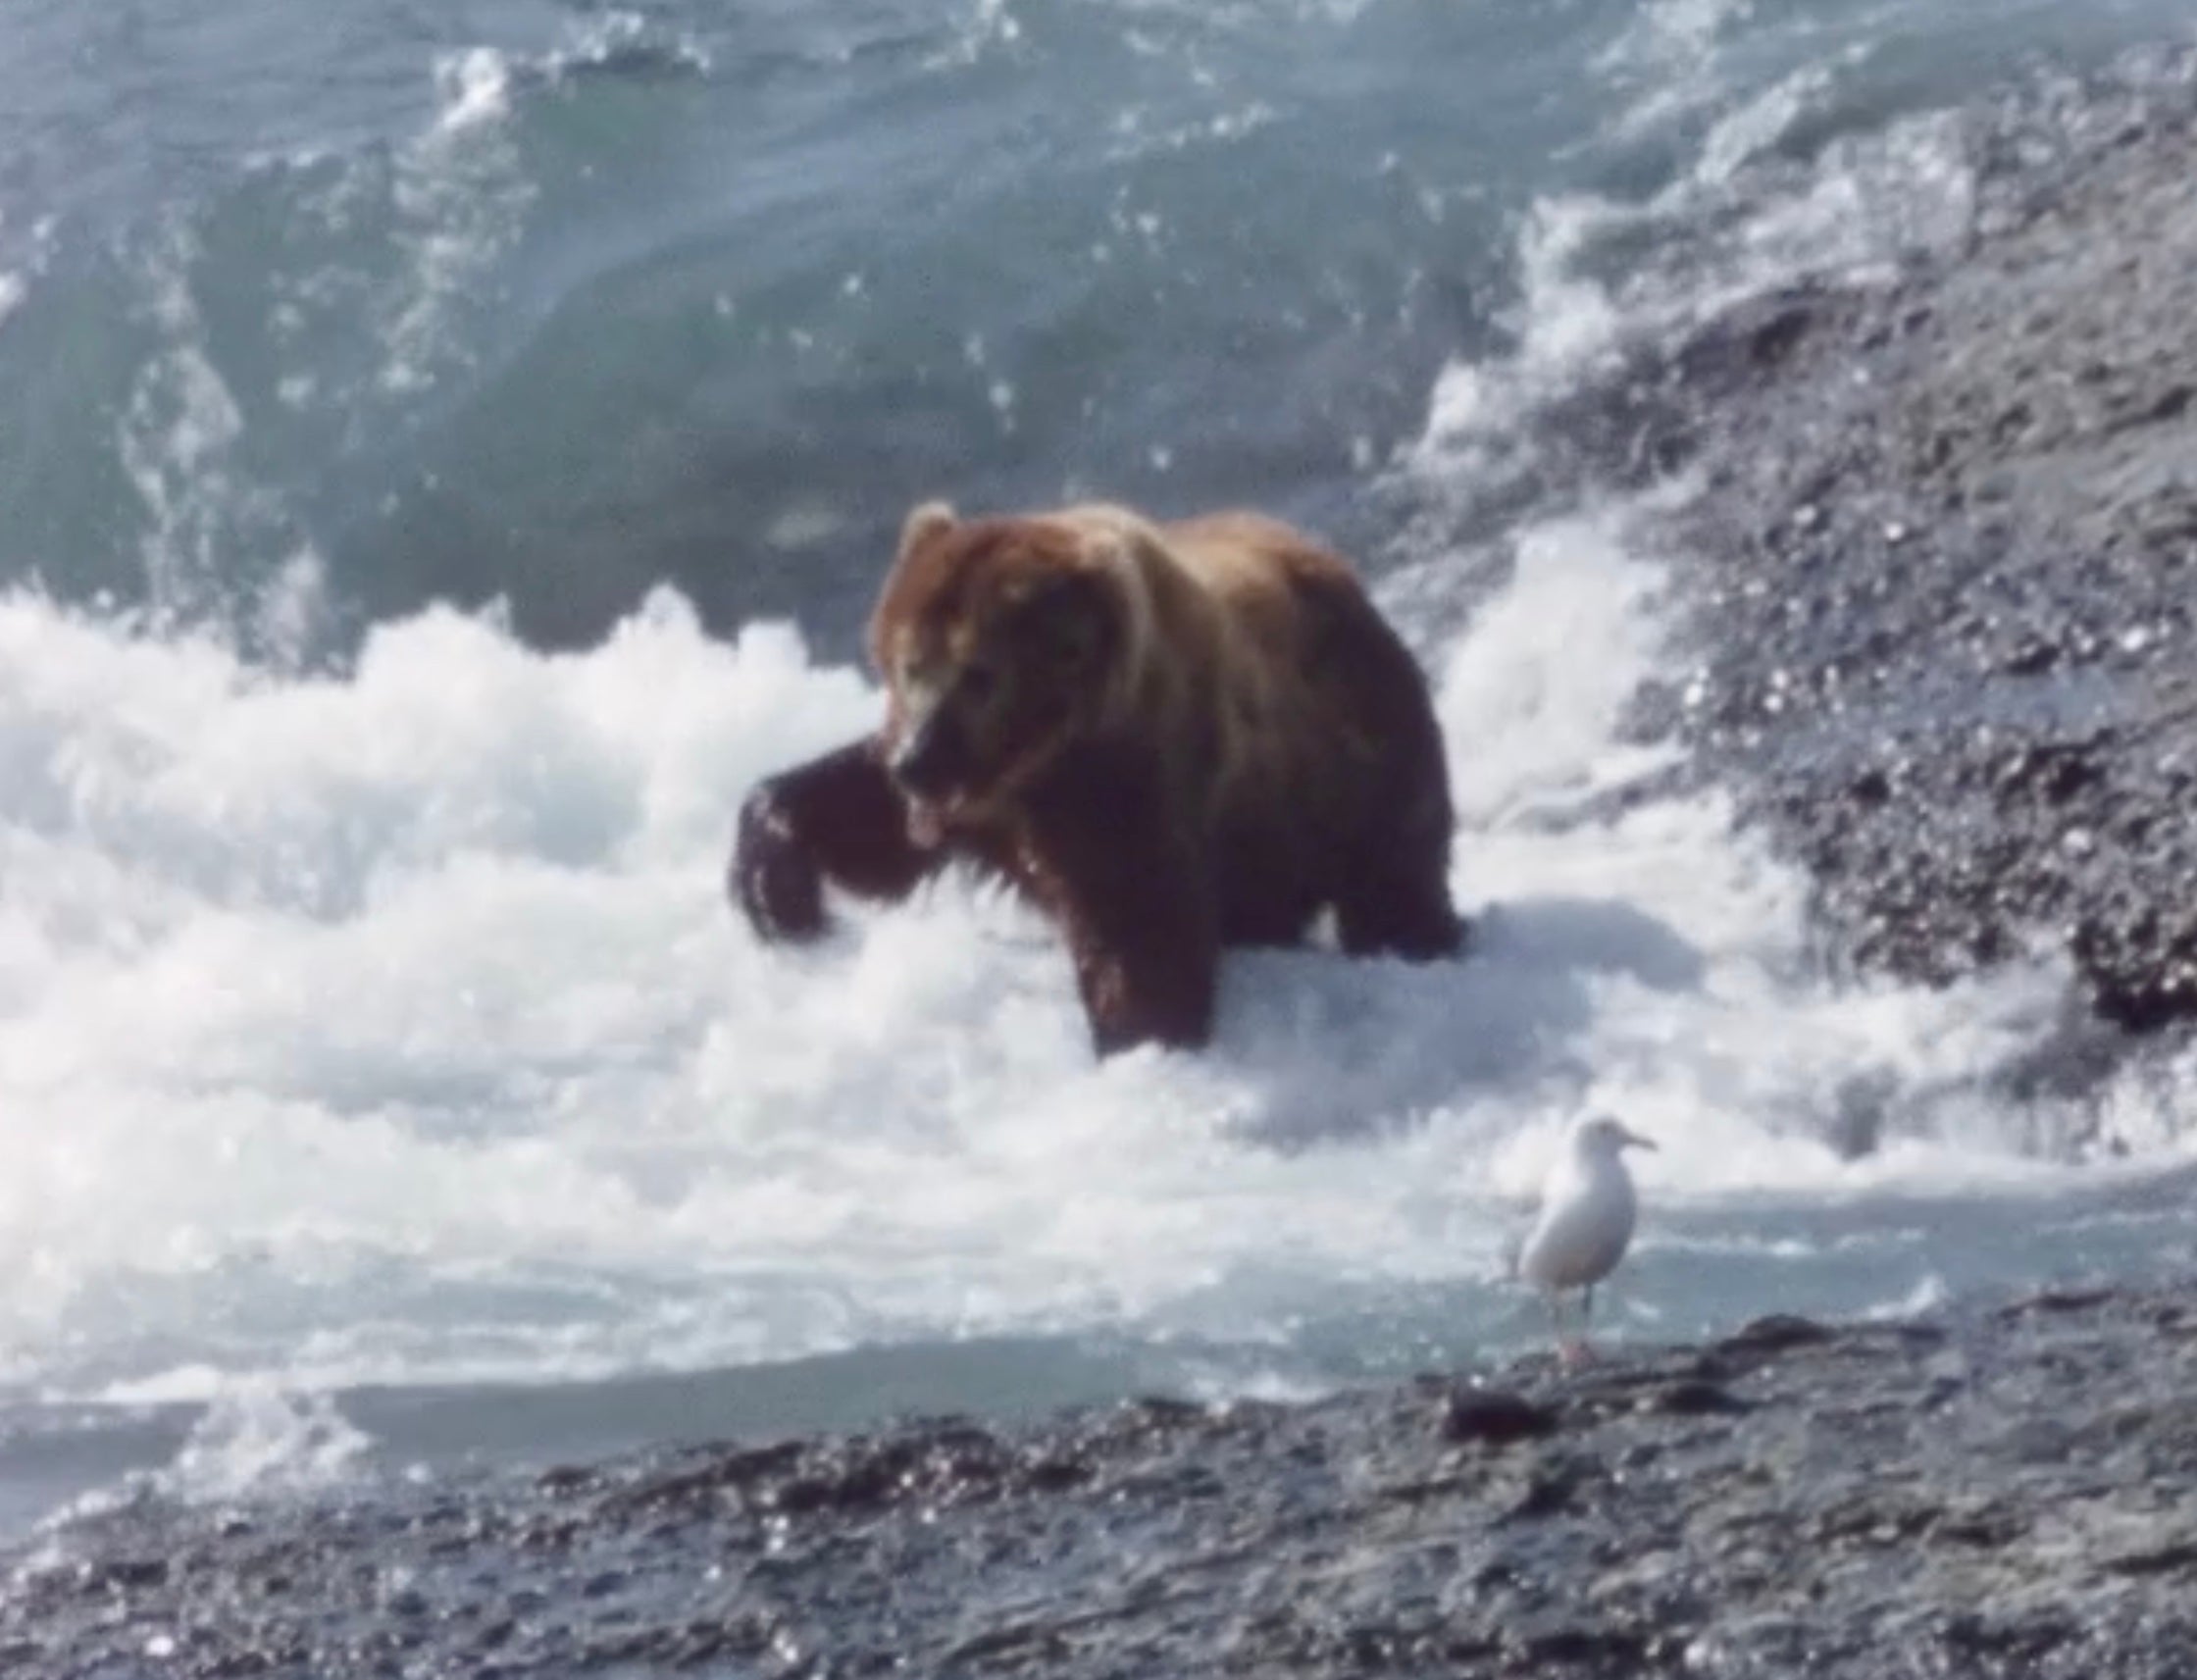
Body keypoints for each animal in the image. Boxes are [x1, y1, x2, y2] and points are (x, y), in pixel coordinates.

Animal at [729, 498, 1467, 1053]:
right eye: (911, 662)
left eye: (979, 674)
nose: (918, 759)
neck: (1036, 761)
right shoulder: (977, 799)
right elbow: (873, 824)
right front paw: (776, 882)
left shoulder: (1127, 776)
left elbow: (1139, 923)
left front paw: (1140, 1034)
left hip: (1356, 769)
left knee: (1393, 874)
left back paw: (1420, 934)